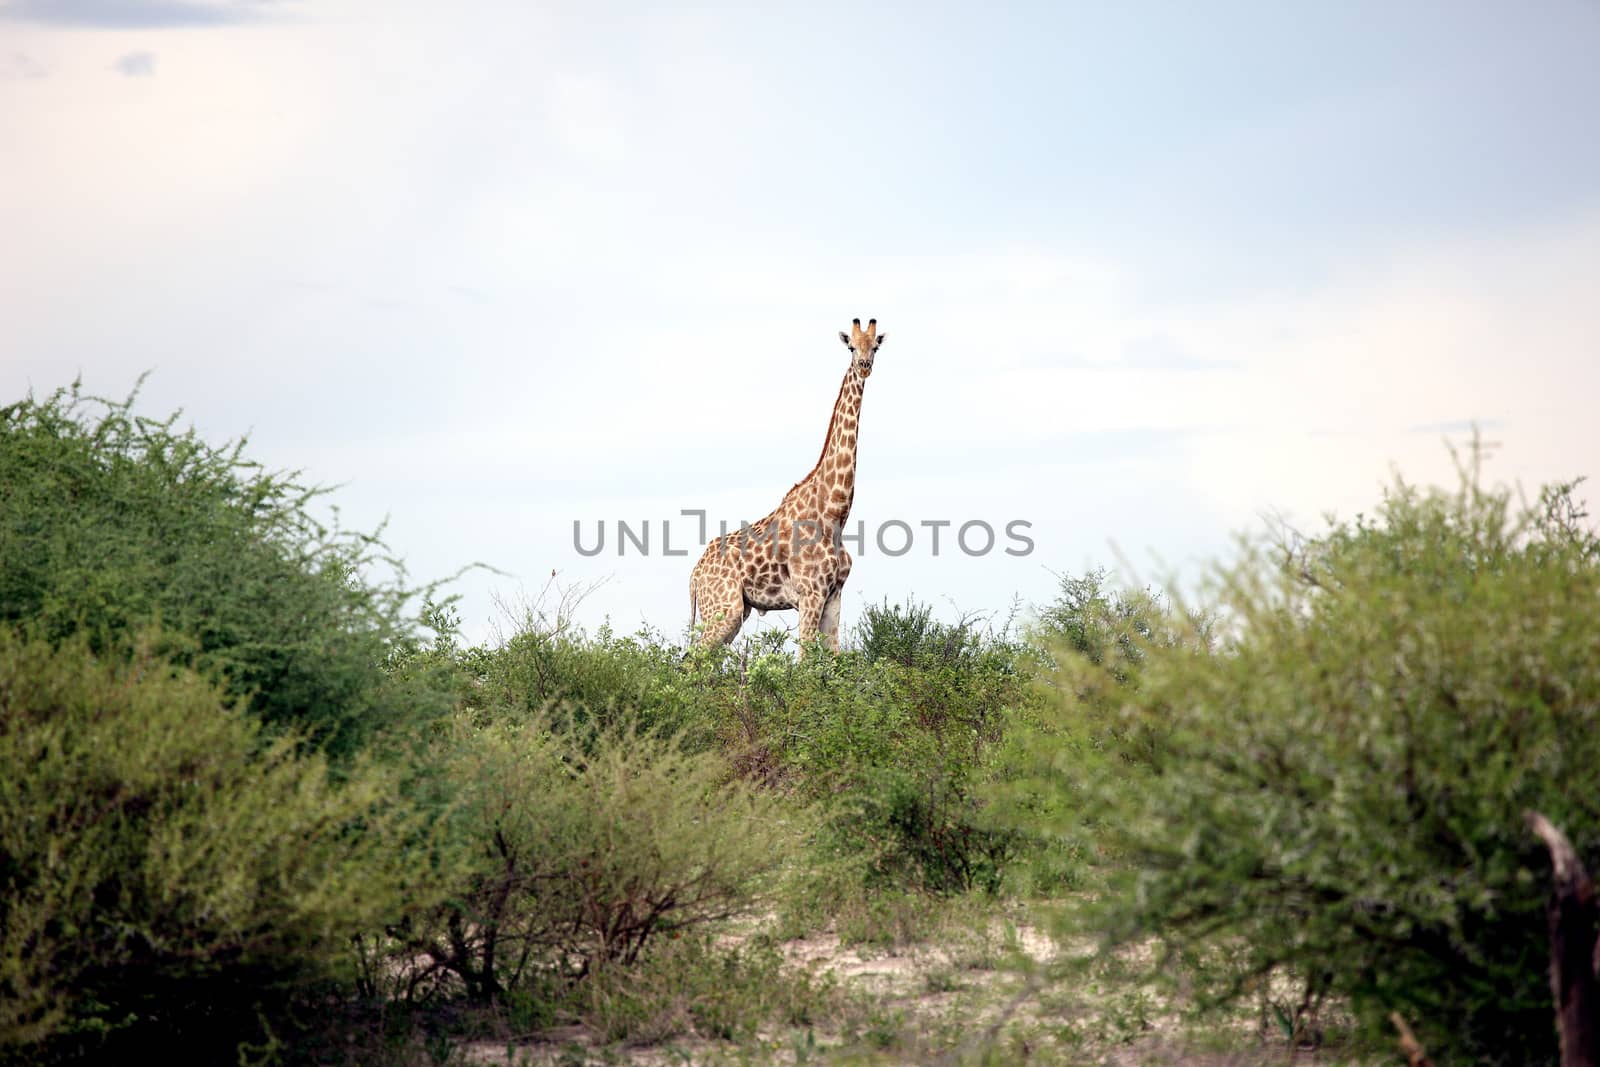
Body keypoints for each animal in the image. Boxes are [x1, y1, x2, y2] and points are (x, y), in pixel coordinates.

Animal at [688, 316, 889, 652]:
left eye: (875, 346)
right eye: (851, 346)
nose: (864, 366)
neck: (834, 512)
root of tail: (695, 574)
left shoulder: (834, 595)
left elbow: (834, 658)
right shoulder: (810, 595)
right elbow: (806, 658)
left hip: (734, 611)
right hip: (722, 608)